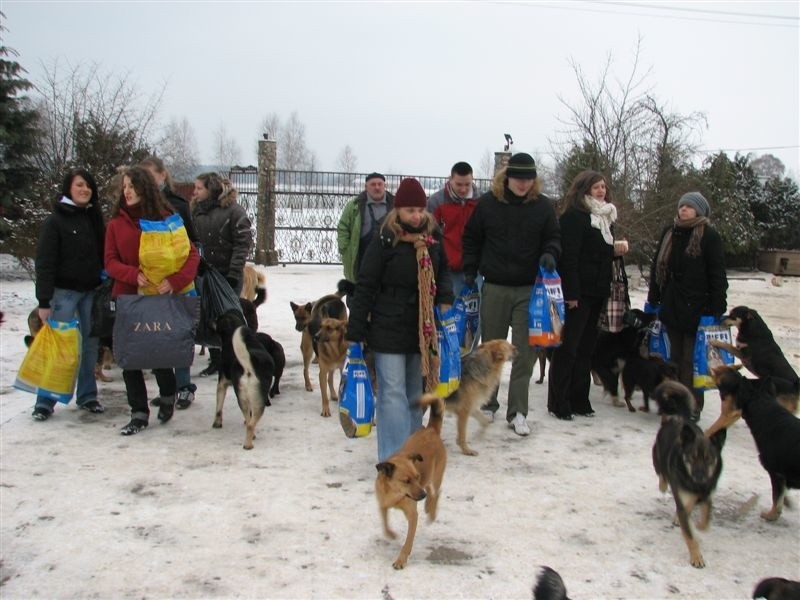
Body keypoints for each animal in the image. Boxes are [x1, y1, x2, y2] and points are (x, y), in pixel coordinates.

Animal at [212, 310, 276, 450]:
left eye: (218, 319)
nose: (211, 319)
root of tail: (248, 367)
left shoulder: (222, 383)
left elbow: (218, 408)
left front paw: (217, 423)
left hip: (248, 398)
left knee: (250, 423)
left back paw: (248, 443)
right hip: (253, 399)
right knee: (250, 422)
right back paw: (250, 441)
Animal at [374, 392, 444, 568]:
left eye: (416, 477)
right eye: (406, 481)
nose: (421, 496)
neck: (395, 495)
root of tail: (431, 430)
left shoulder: (413, 515)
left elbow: (408, 542)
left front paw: (401, 559)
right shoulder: (382, 504)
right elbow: (385, 523)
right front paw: (391, 534)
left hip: (436, 475)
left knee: (436, 491)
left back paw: (431, 510)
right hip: (428, 478)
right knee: (430, 490)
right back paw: (428, 504)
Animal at [652, 380, 728, 568]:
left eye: (709, 459)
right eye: (692, 457)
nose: (700, 476)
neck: (695, 485)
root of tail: (680, 418)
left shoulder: (707, 495)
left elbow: (705, 519)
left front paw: (700, 525)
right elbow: (691, 536)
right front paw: (696, 558)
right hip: (657, 457)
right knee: (662, 475)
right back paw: (664, 485)